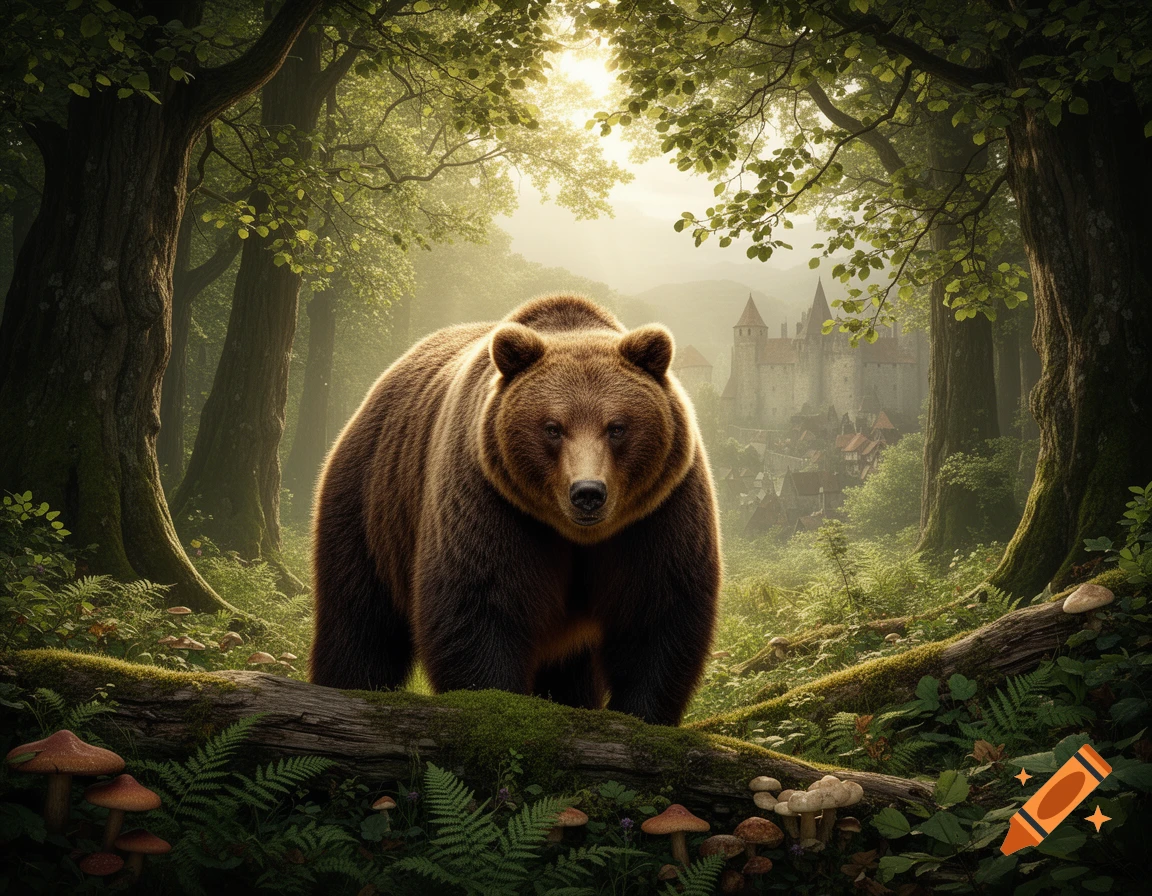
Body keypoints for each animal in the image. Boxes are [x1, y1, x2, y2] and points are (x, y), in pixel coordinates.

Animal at [309, 294, 720, 726]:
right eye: (553, 427)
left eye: (617, 427)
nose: (588, 493)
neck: (577, 535)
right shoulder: (490, 499)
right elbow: (481, 605)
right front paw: (497, 700)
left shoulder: (658, 512)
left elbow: (659, 612)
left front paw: (640, 714)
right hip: (372, 503)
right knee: (359, 620)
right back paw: (346, 685)